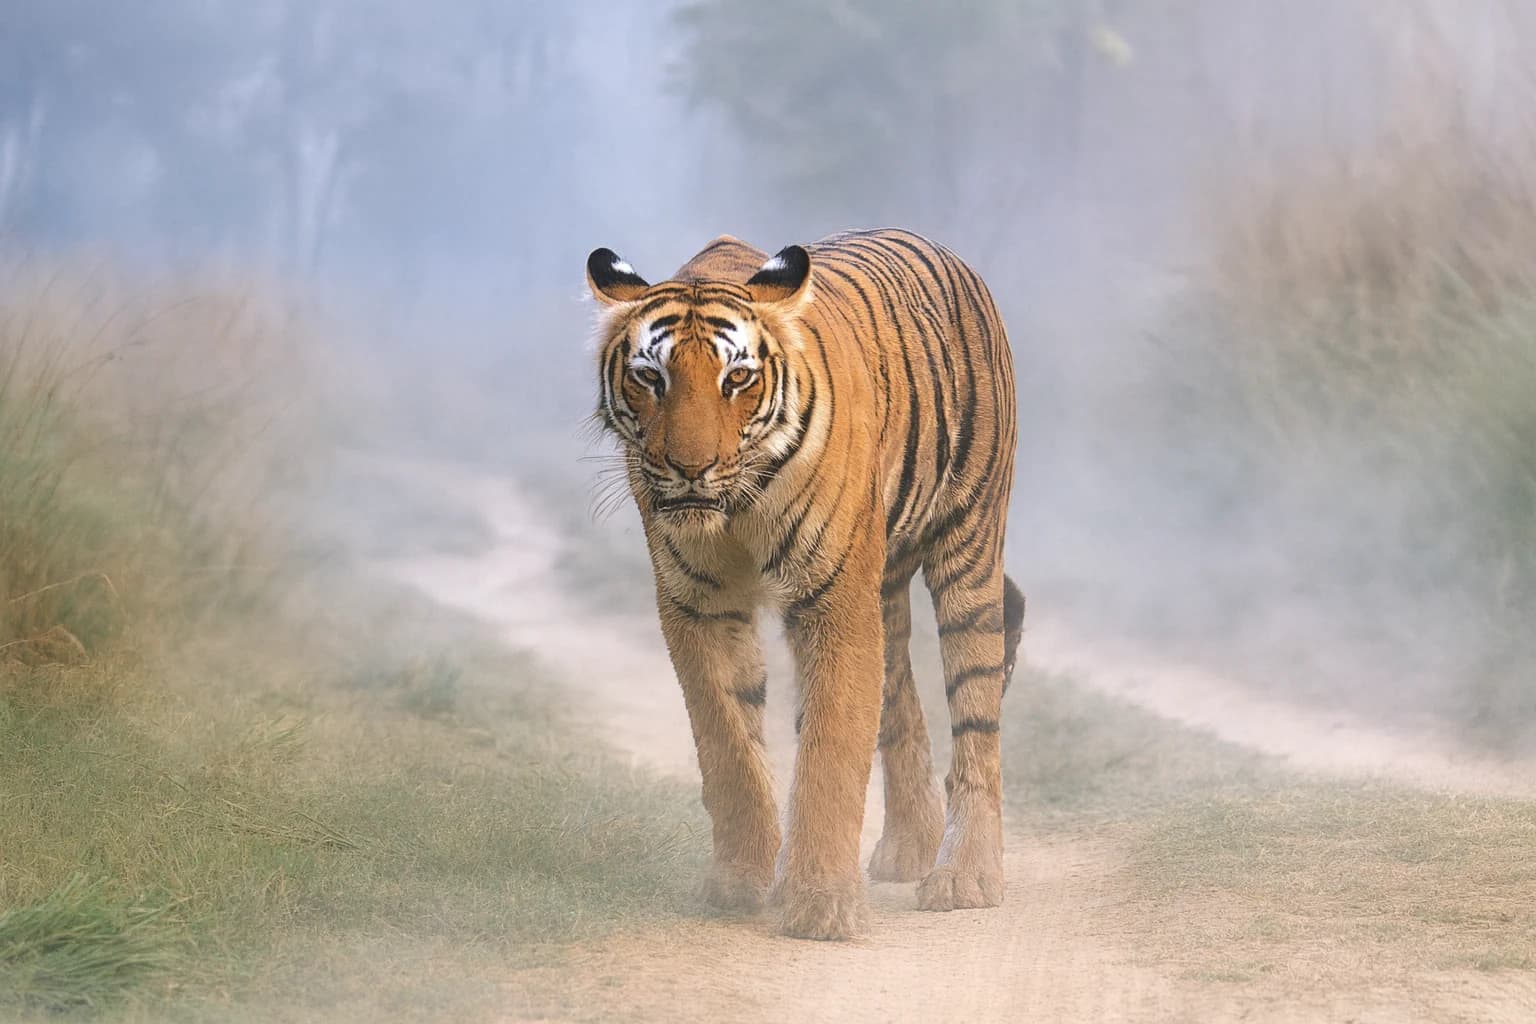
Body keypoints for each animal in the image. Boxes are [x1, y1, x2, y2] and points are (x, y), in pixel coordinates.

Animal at [586, 228, 1022, 940]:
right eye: (651, 376)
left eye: (736, 377)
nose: (690, 468)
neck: (736, 505)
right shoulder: (697, 604)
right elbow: (728, 744)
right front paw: (739, 882)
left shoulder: (835, 600)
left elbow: (831, 749)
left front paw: (821, 906)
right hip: (884, 586)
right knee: (901, 703)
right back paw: (909, 849)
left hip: (969, 547)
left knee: (976, 719)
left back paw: (966, 877)